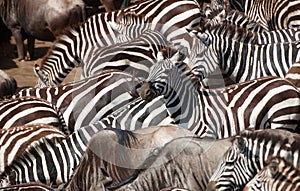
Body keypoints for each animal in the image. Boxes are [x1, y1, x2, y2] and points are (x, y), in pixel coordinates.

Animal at [139, 46, 300, 139]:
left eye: (166, 72)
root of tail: (288, 83)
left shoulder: (208, 135)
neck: (194, 107)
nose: (142, 92)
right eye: (151, 70)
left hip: (282, 121)